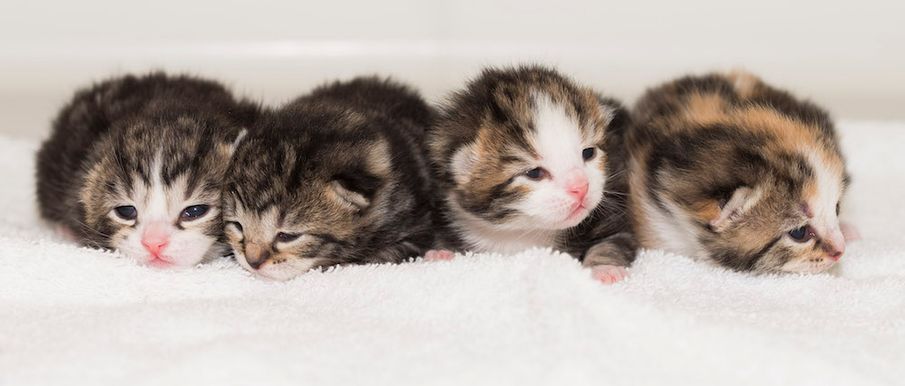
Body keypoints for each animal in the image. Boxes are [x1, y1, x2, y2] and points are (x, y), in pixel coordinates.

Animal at [430, 65, 636, 284]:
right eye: (535, 173)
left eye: (588, 153)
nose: (581, 188)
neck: (524, 232)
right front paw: (441, 253)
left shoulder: (615, 216)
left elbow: (611, 243)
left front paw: (605, 268)